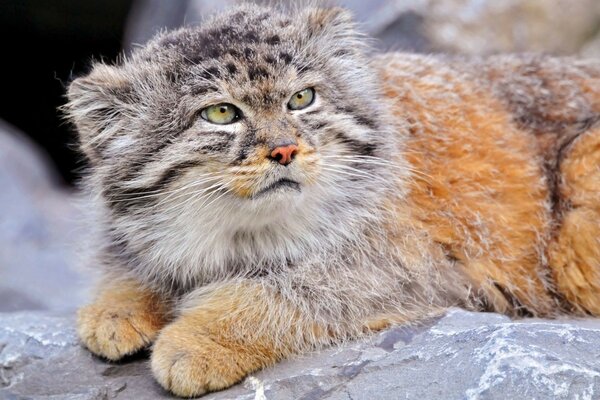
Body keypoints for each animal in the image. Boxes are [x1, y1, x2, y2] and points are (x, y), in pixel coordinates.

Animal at [64, 3, 600, 396]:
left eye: (302, 99)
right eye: (220, 114)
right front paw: (117, 305)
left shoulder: (410, 273)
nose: (284, 150)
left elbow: (278, 292)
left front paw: (197, 340)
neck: (240, 237)